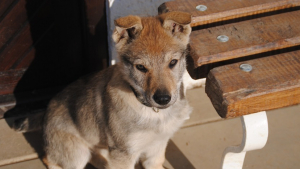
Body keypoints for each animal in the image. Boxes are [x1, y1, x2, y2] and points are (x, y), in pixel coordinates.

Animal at [12, 11, 203, 169]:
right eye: (141, 67)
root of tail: (45, 114)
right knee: (50, 159)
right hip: (77, 154)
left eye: (173, 62)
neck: (153, 112)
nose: (163, 99)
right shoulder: (124, 153)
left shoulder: (157, 145)